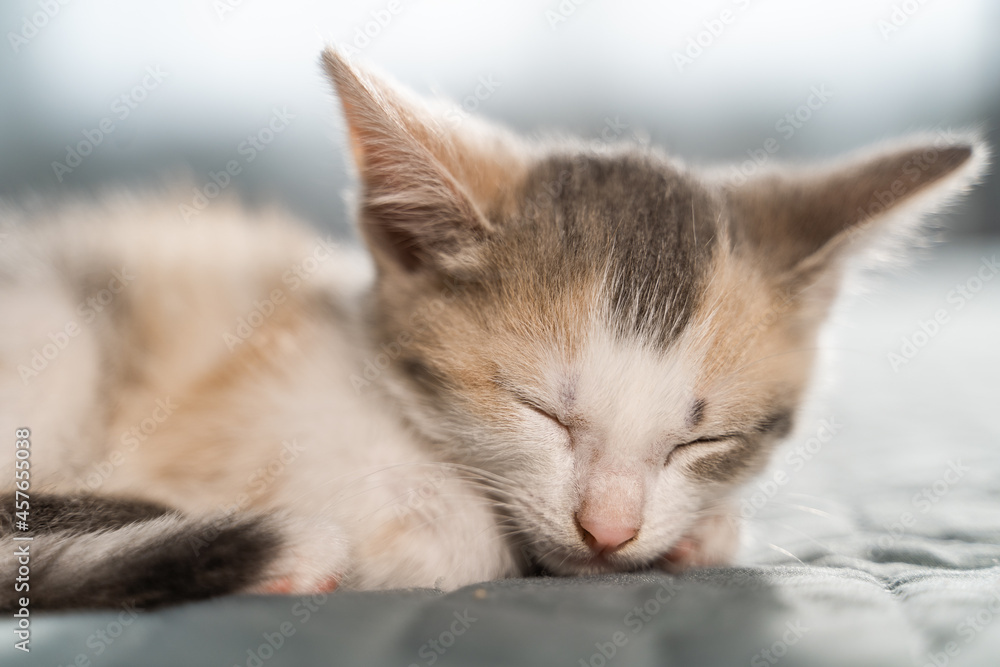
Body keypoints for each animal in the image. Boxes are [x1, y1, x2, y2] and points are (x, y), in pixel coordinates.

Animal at [0, 49, 984, 608]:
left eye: (703, 440)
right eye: (540, 410)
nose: (610, 529)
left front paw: (695, 535)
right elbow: (450, 538)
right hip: (67, 330)